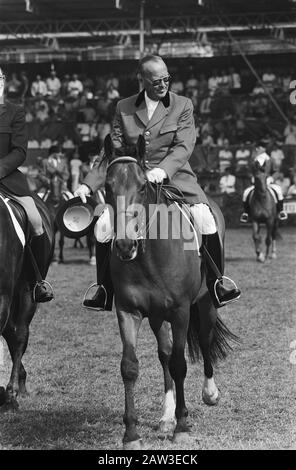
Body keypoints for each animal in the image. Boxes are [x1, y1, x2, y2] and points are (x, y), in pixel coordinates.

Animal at [100, 135, 238, 448]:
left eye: (142, 186)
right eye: (107, 186)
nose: (124, 245)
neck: (148, 254)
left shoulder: (180, 310)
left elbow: (179, 364)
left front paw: (183, 427)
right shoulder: (128, 311)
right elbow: (130, 366)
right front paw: (132, 434)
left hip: (205, 304)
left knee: (204, 340)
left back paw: (209, 394)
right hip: (156, 315)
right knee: (163, 354)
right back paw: (166, 417)